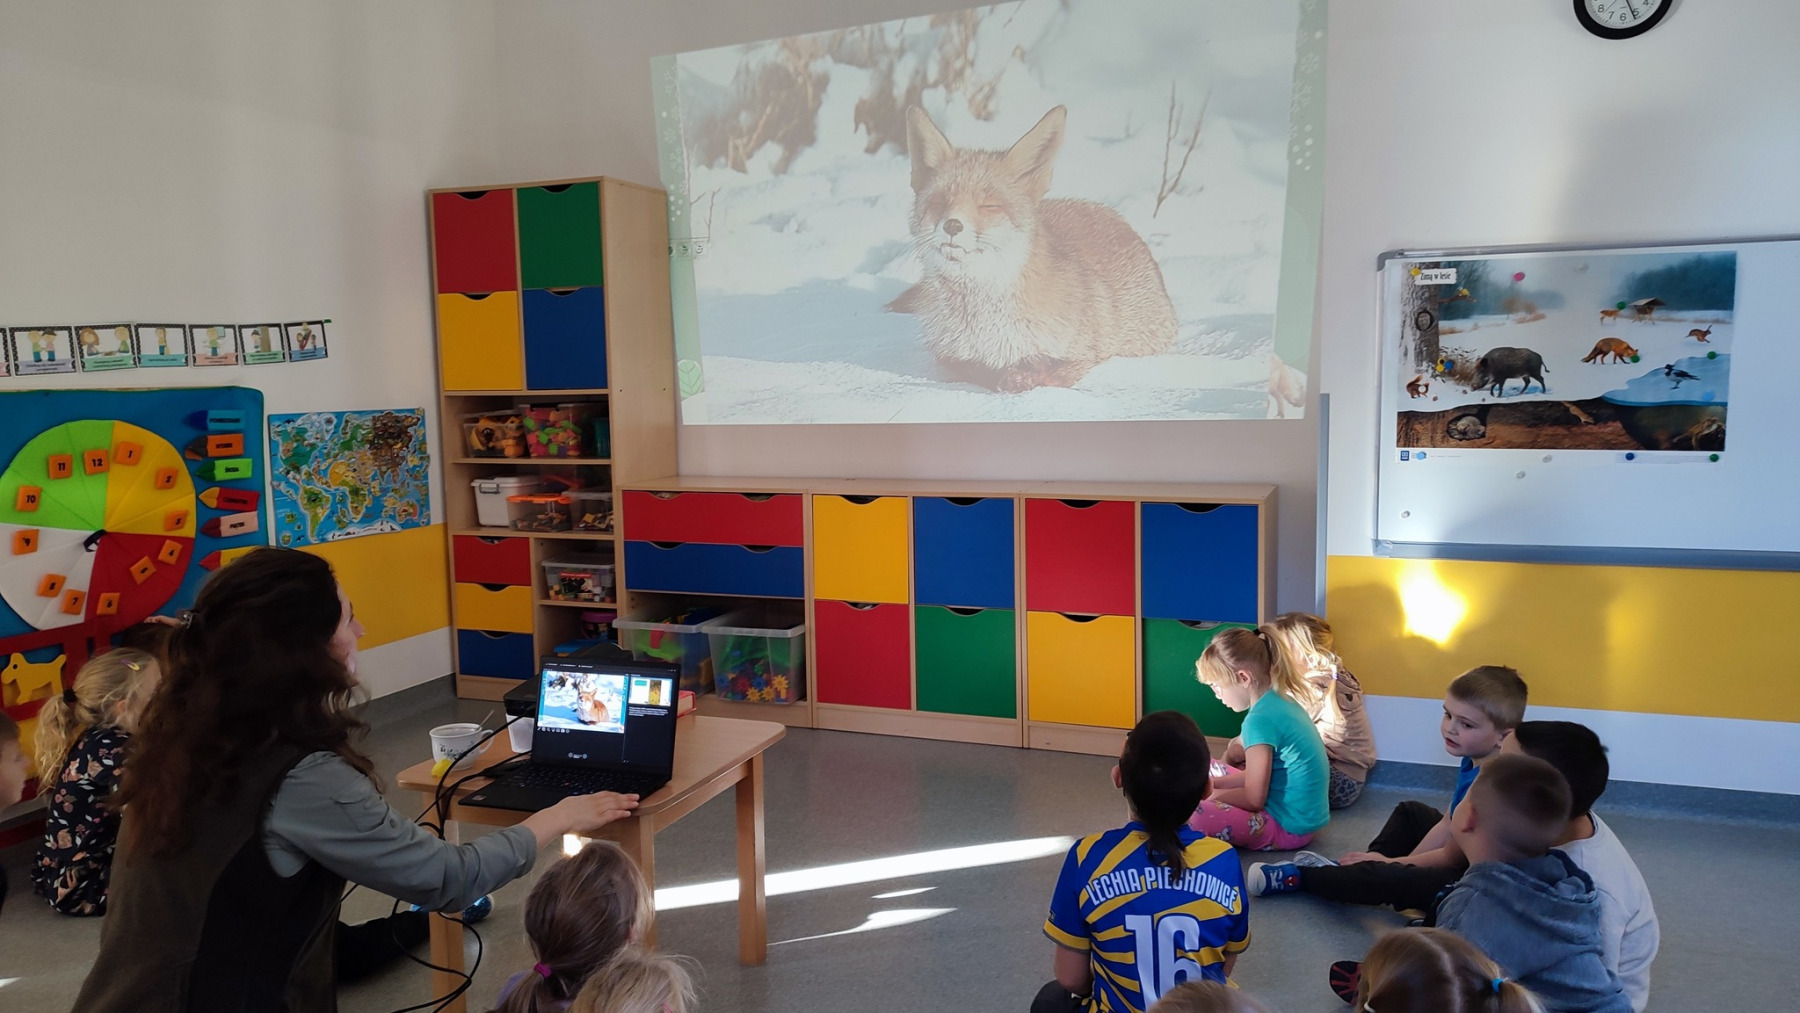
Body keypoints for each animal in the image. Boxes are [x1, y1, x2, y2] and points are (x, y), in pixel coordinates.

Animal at [888, 105, 1177, 392]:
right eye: (939, 202)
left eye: (989, 206)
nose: (951, 225)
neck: (983, 325)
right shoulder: (948, 355)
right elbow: (975, 369)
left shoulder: (1087, 354)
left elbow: (1055, 370)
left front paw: (1025, 375)